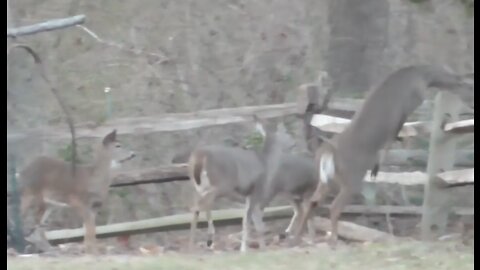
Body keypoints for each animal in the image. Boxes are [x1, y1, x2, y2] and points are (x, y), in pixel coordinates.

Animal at [294, 65, 474, 247]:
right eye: (469, 86)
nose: (470, 105)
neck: (423, 75)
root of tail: (327, 152)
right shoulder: (412, 101)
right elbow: (395, 132)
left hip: (327, 179)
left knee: (312, 202)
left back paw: (298, 237)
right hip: (351, 179)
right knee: (334, 206)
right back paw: (332, 240)